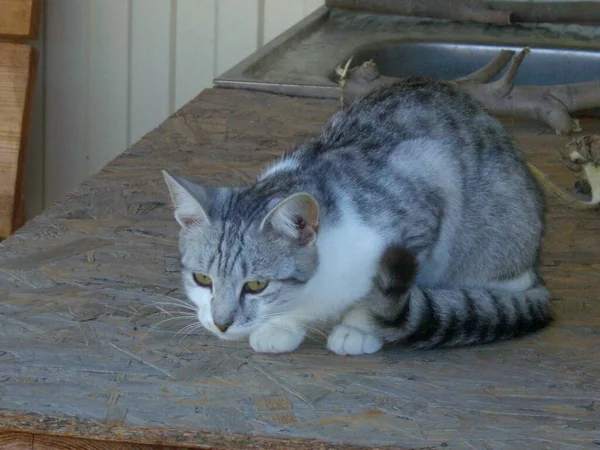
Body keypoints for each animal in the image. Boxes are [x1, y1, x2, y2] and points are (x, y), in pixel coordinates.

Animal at [163, 76, 552, 356]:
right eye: (202, 279)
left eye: (256, 285)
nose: (221, 323)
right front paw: (282, 325)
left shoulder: (428, 187)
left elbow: (380, 295)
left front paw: (358, 328)